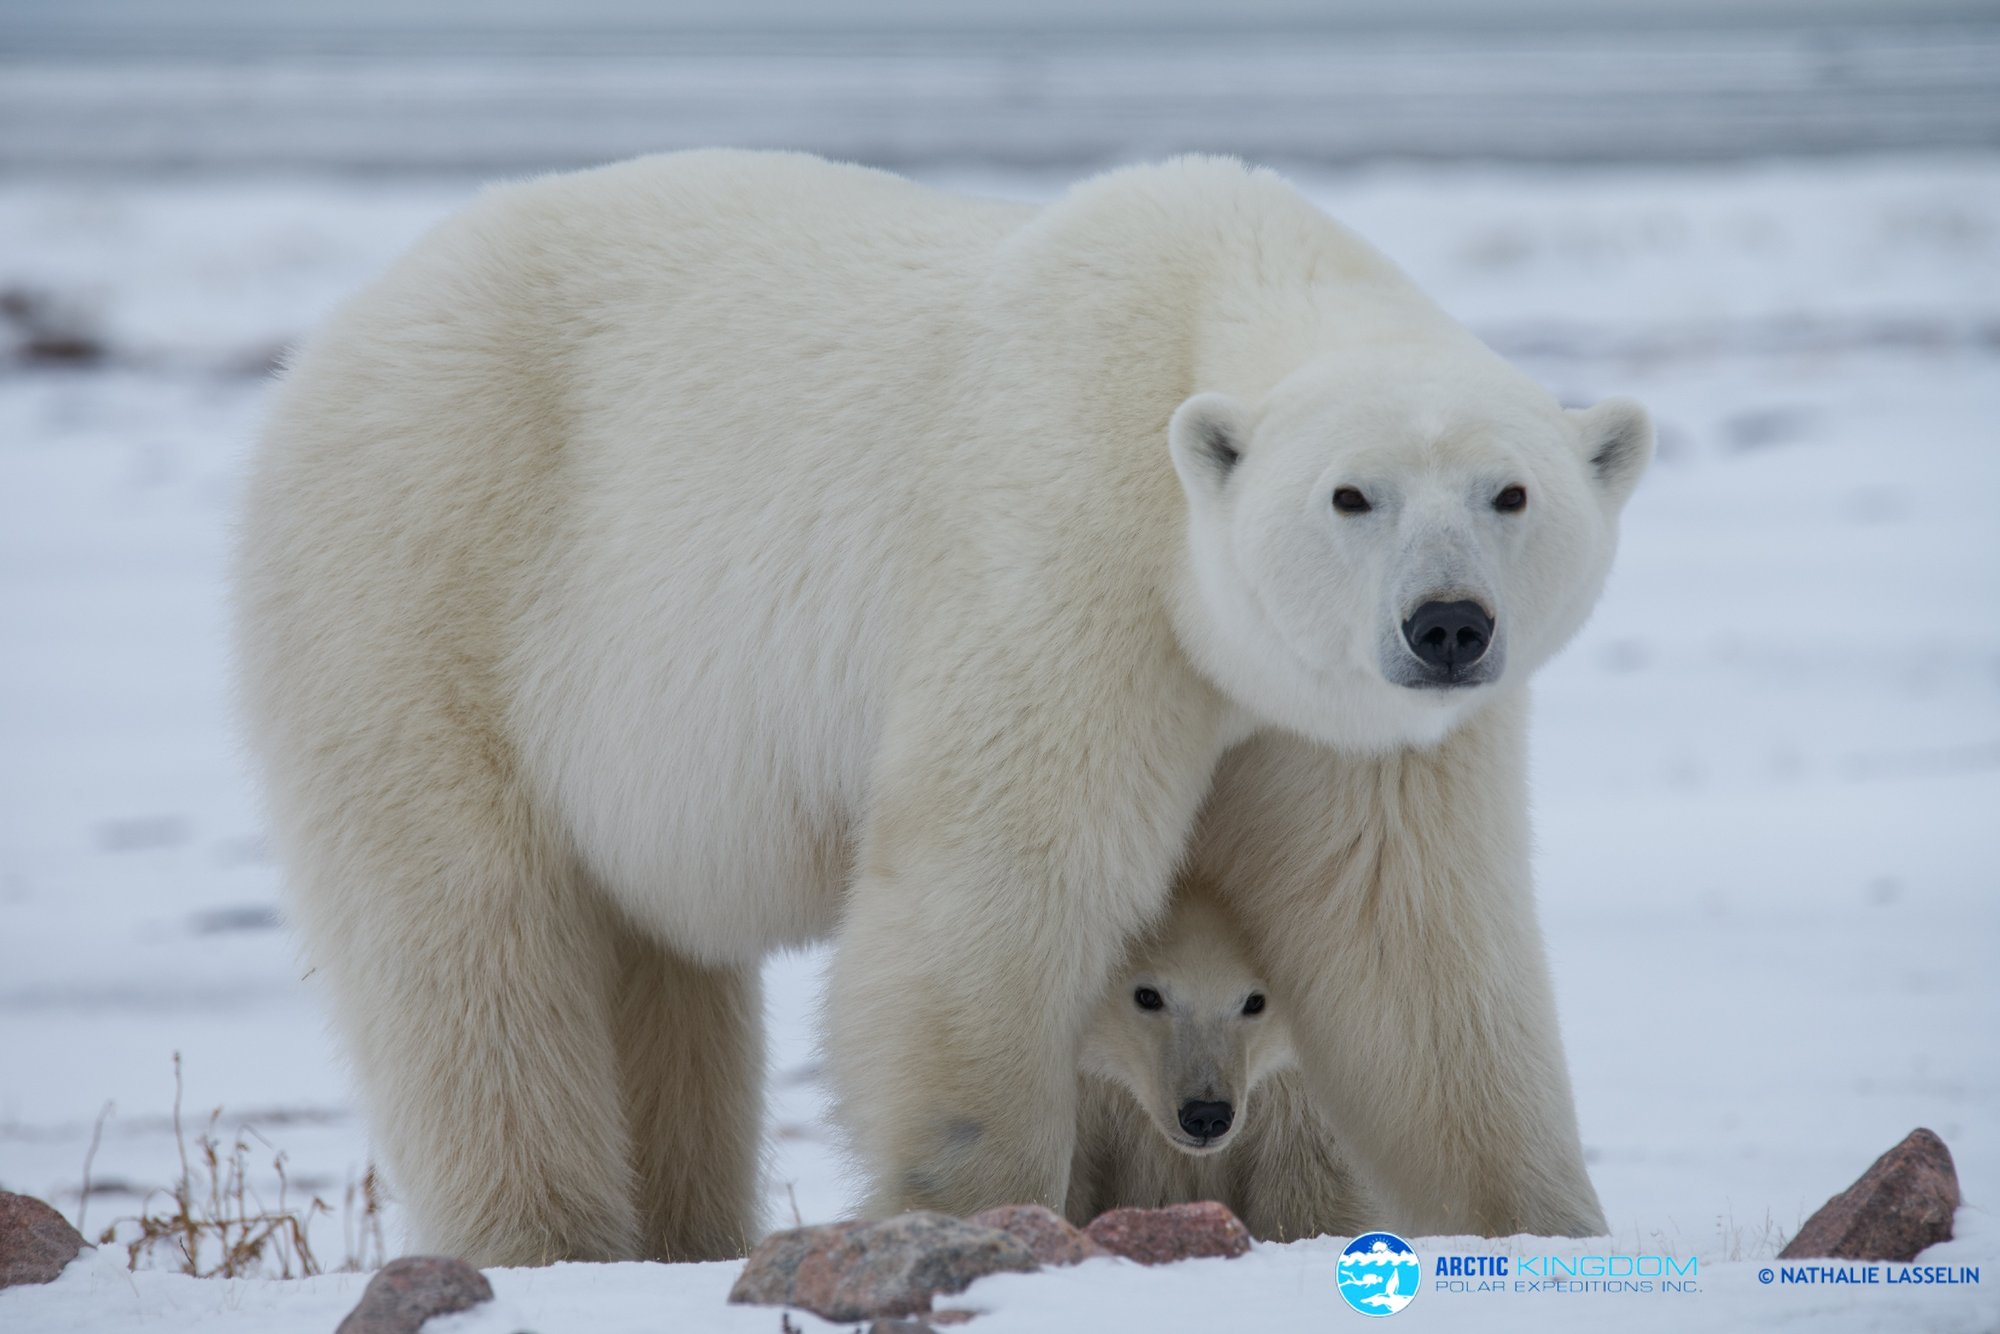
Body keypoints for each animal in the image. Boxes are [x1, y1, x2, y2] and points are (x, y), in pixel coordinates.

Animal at [238, 151, 1640, 1272]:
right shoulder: (1063, 552)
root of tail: (339, 335)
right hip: (423, 580)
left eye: (1509, 491)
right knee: (471, 945)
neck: (1196, 300)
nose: (1446, 624)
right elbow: (995, 875)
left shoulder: (1337, 726)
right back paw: (549, 1236)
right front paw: (976, 1215)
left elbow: (1406, 934)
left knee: (658, 972)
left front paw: (1542, 1224)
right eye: (1350, 494)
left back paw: (682, 1229)